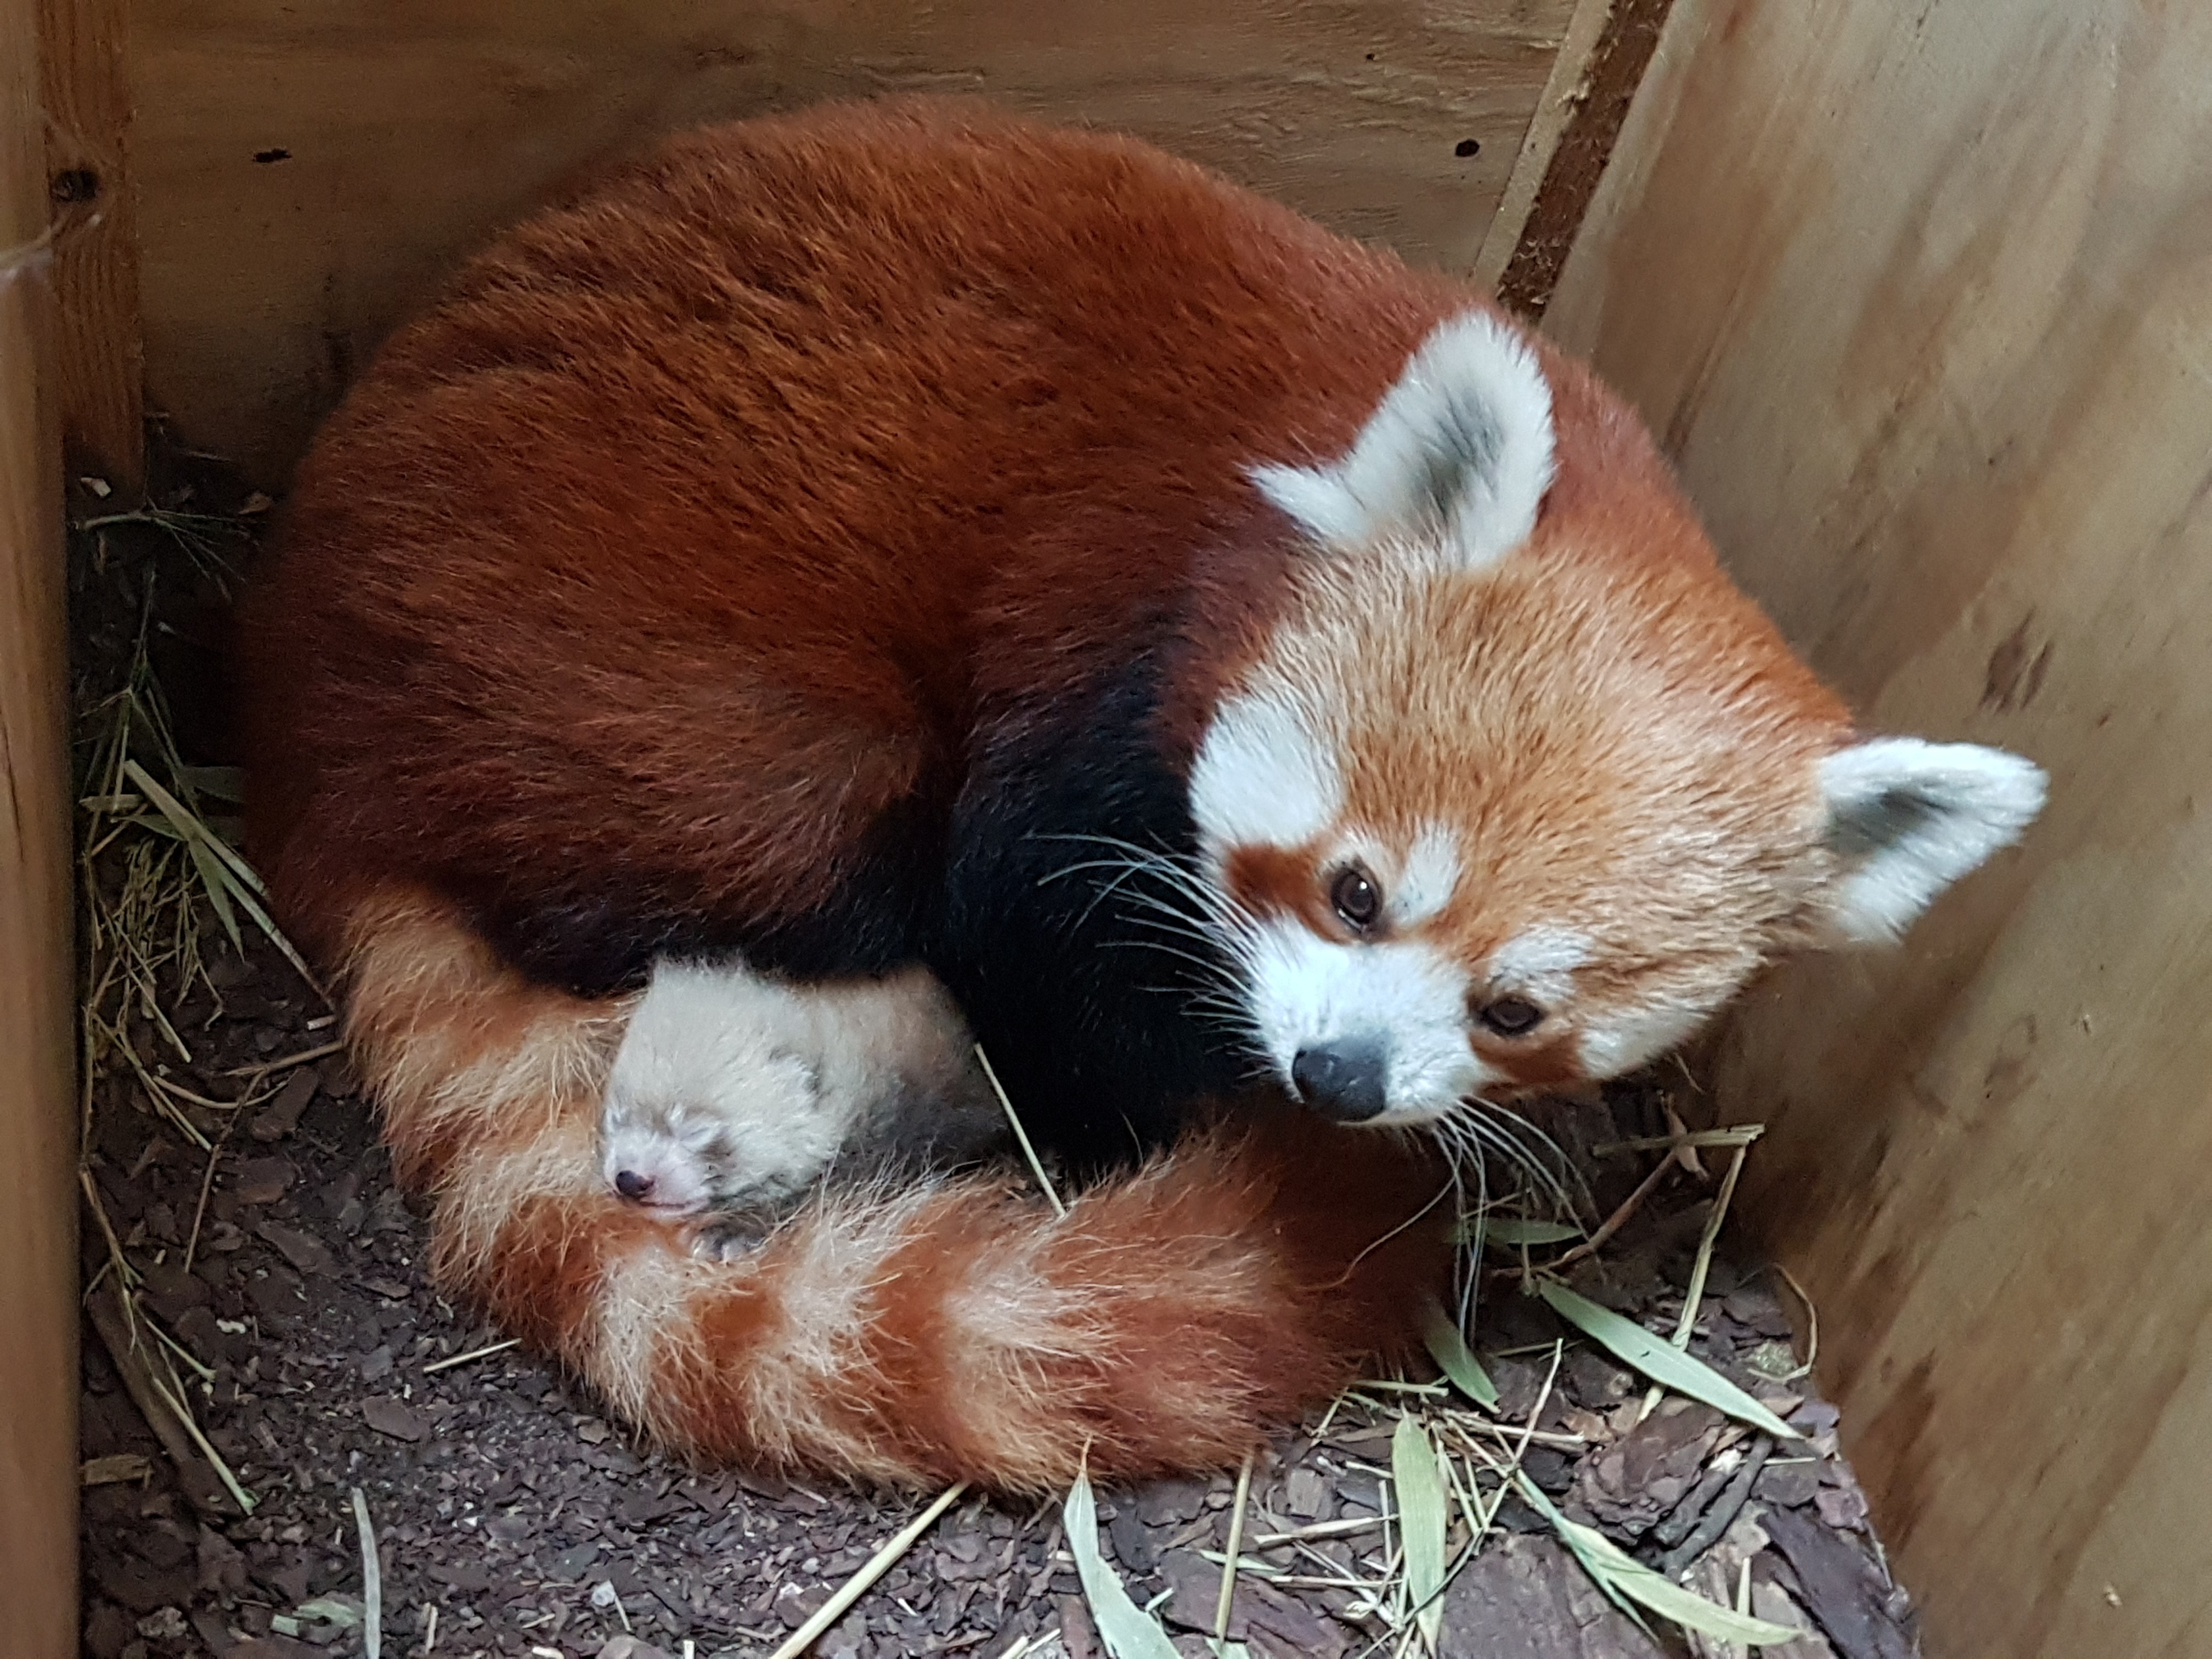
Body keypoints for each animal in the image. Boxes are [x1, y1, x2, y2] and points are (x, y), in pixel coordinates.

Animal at [238, 97, 2035, 1486]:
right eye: (1355, 891)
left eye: (1517, 1010)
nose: (1335, 1082)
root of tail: (296, 717)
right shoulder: (1092, 649)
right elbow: (1028, 931)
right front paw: (1158, 1103)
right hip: (661, 698)